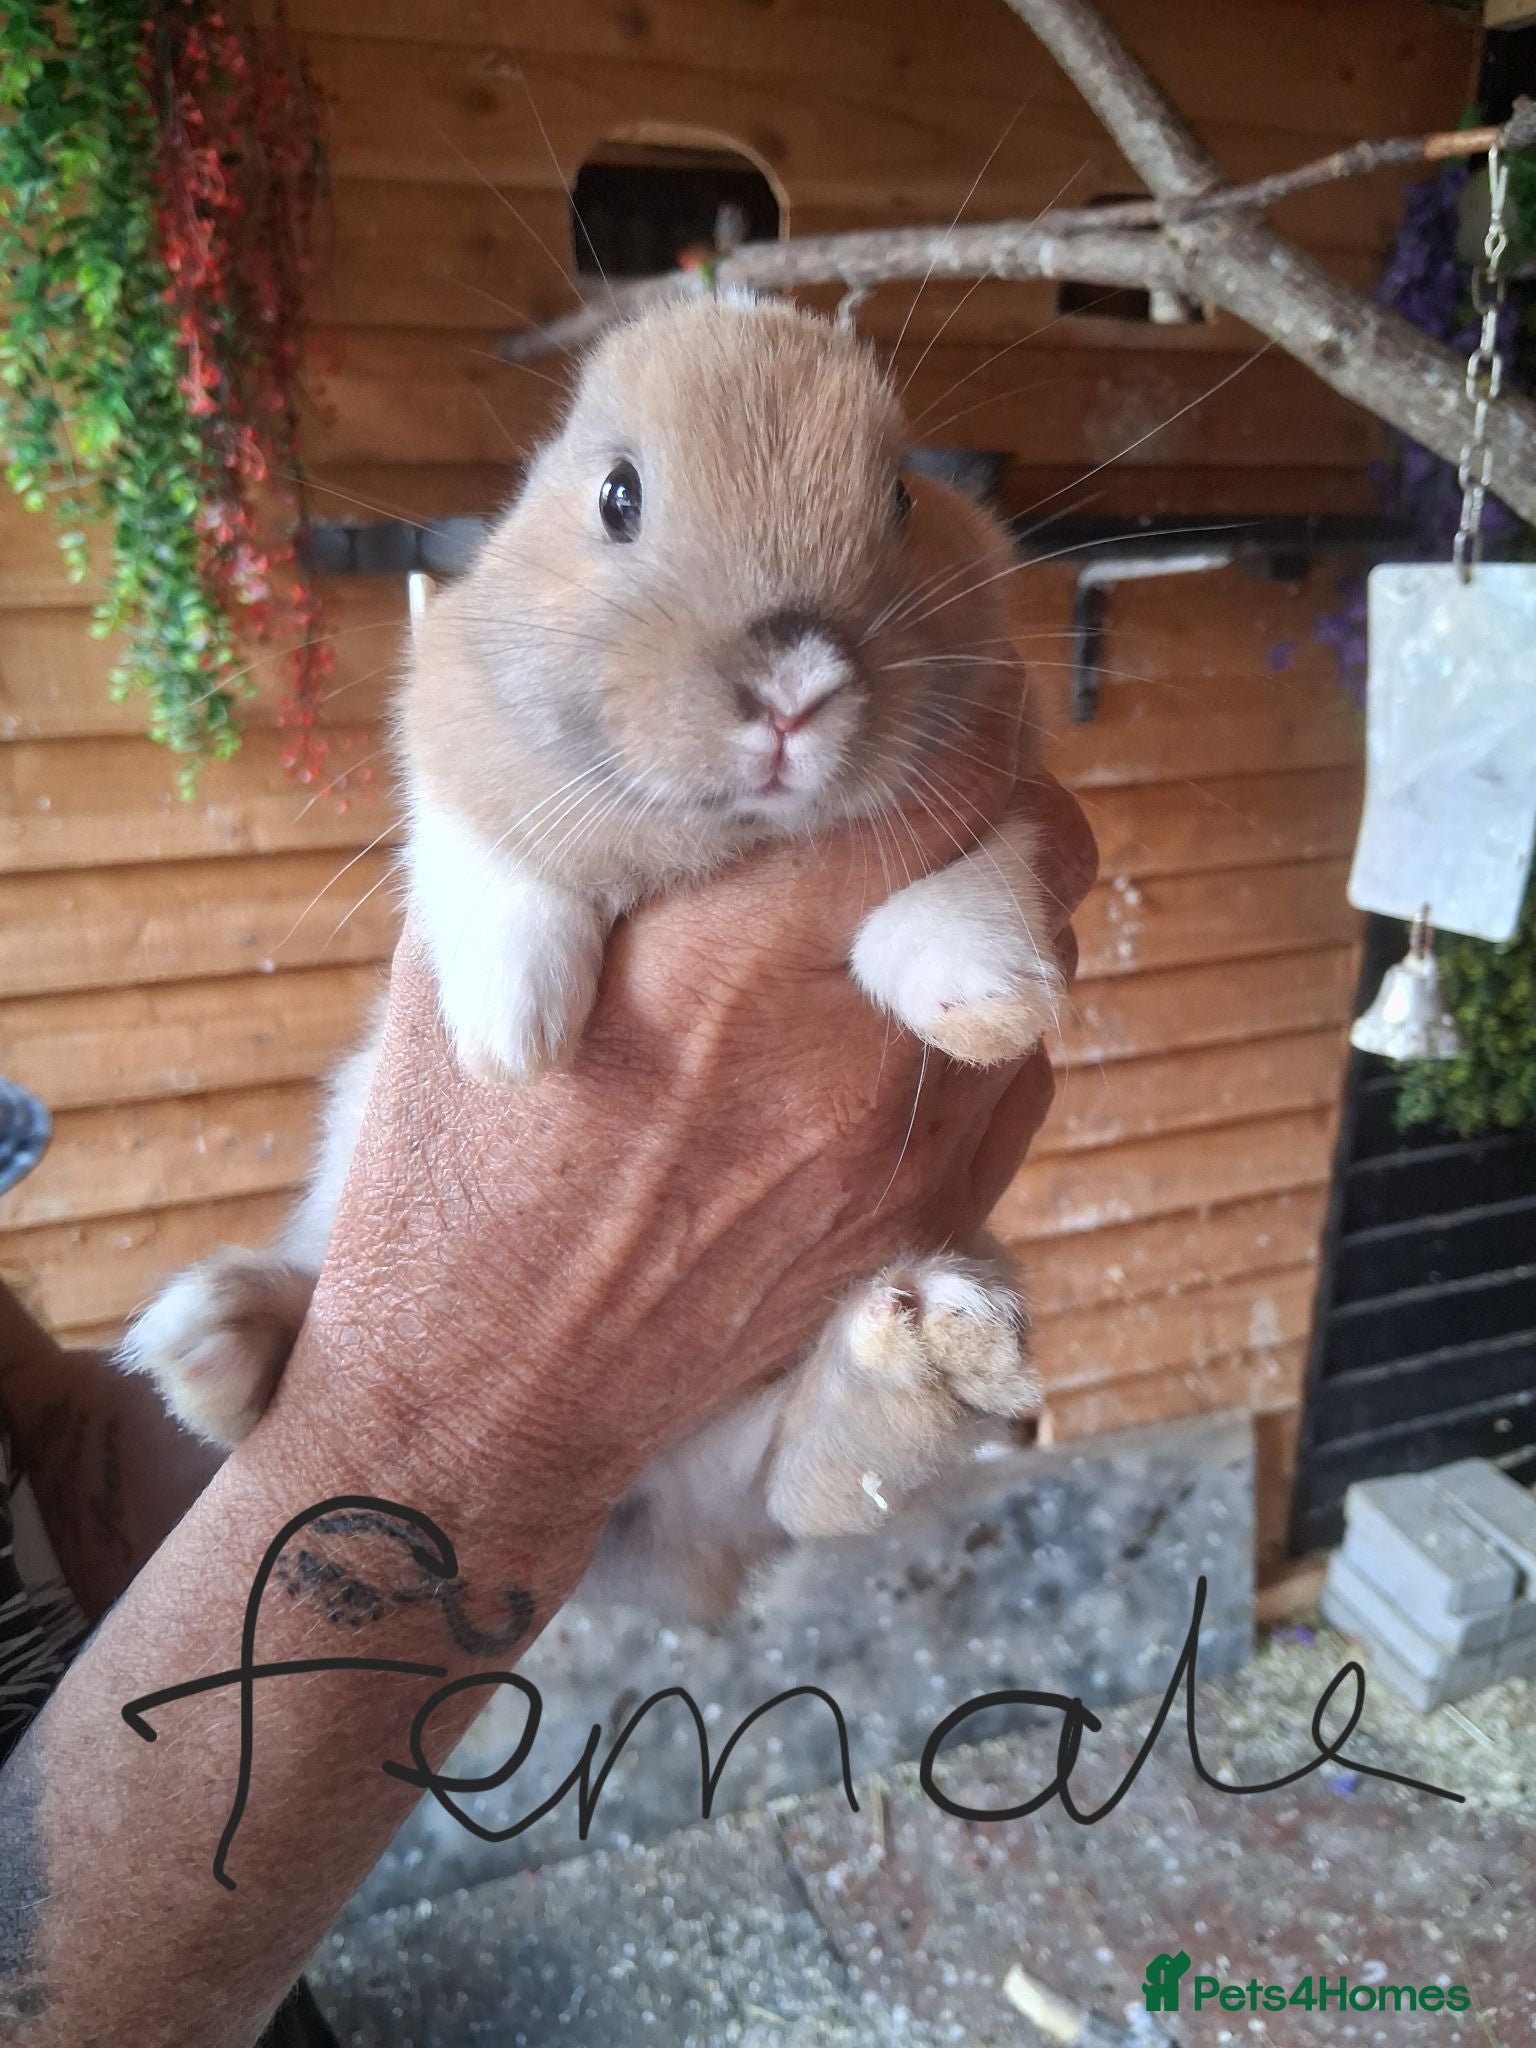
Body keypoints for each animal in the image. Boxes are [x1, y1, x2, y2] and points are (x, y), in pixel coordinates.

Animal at [120, 294, 1062, 1614]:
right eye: (618, 495)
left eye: (902, 500)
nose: (792, 686)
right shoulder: (459, 756)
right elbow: (499, 861)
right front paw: (517, 1034)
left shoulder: (1001, 786)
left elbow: (969, 883)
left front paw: (984, 1002)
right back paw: (220, 1338)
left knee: (810, 1483)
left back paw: (928, 1351)